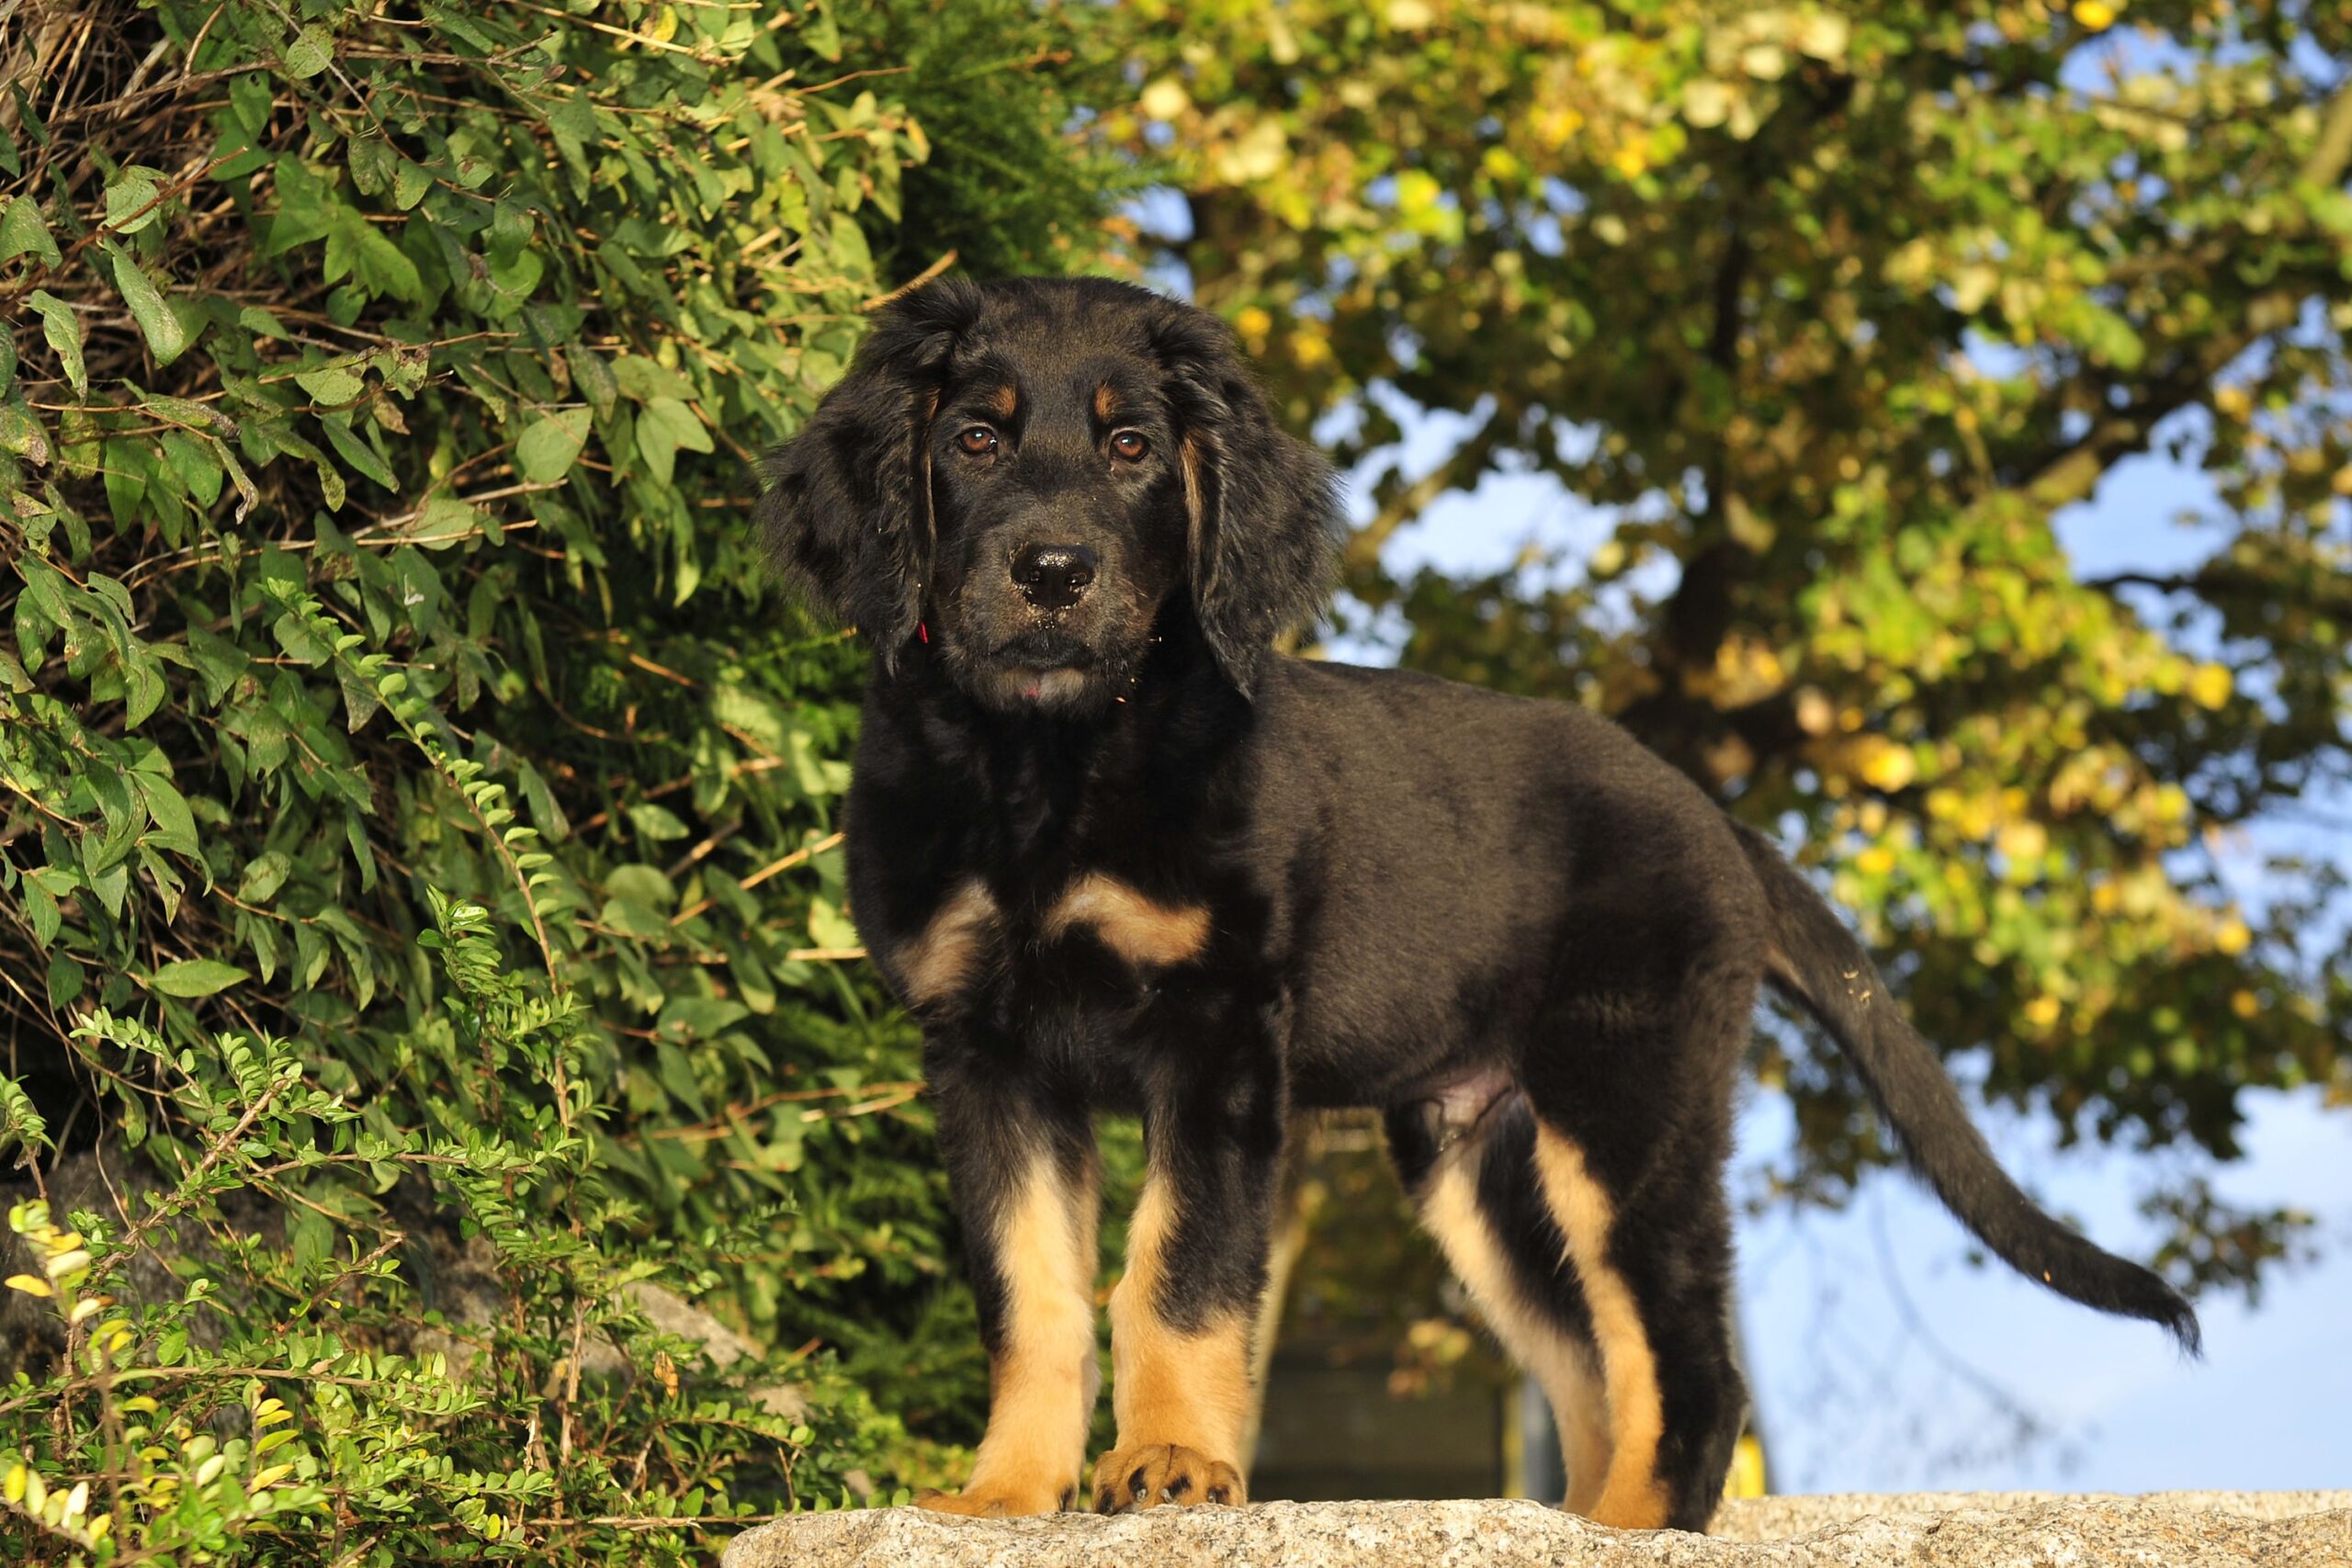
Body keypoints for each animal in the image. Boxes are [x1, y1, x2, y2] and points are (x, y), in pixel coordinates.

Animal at [757, 276, 2201, 1523]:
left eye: (1127, 447)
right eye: (975, 437)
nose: (1053, 574)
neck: (1045, 764)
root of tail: (1712, 816)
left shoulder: (1216, 1031)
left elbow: (1175, 1268)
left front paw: (1168, 1465)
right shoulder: (984, 1051)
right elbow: (1033, 1292)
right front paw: (1001, 1494)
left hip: (1627, 1108)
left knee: (1689, 1362)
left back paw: (1634, 1532)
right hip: (1482, 1157)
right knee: (1593, 1363)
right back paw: (1588, 1520)